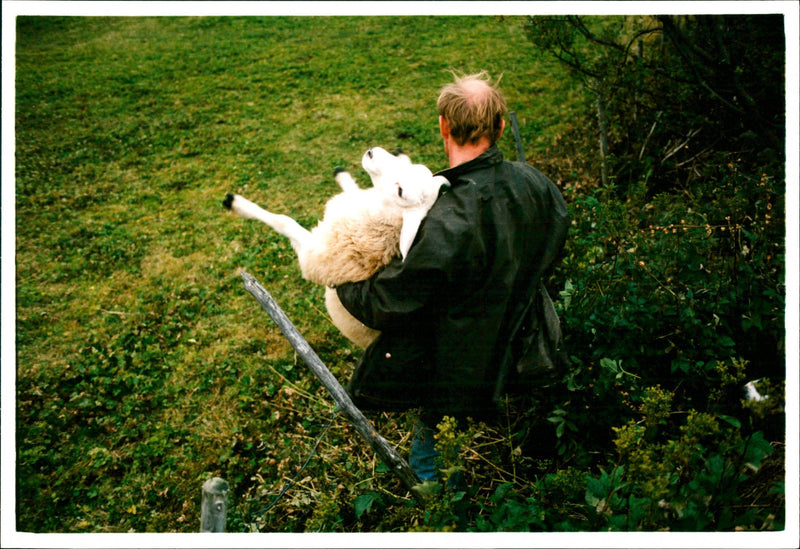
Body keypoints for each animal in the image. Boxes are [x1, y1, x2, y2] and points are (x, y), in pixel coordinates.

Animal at [224, 147, 448, 348]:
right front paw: (342, 175)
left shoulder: (311, 253)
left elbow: (283, 221)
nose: (372, 153)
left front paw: (236, 204)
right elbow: (350, 188)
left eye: (400, 191)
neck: (380, 223)